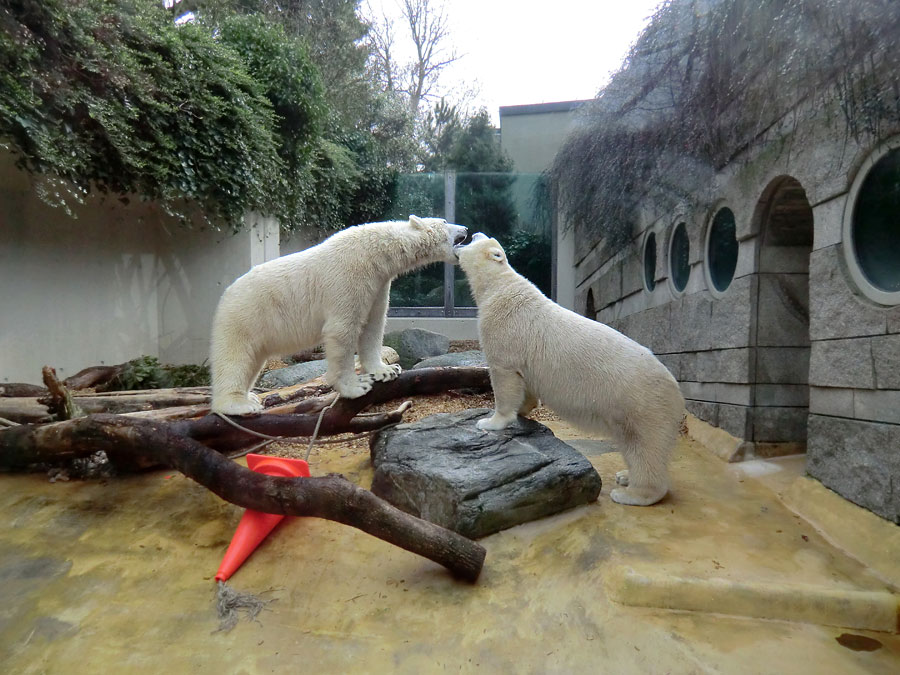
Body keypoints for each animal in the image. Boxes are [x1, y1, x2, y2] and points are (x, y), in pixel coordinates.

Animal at [208, 219, 468, 414]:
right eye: (445, 222)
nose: (465, 228)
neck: (375, 252)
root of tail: (225, 294)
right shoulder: (348, 277)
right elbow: (342, 330)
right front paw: (356, 386)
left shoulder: (378, 284)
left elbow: (373, 326)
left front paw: (386, 370)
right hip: (245, 315)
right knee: (235, 357)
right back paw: (238, 404)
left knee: (253, 360)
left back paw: (249, 396)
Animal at [458, 235, 684, 504]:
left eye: (478, 238)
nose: (469, 235)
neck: (501, 287)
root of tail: (677, 391)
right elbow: (526, 382)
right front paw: (524, 409)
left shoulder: (504, 330)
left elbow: (504, 376)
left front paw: (490, 422)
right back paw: (624, 476)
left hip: (641, 404)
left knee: (644, 447)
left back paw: (629, 493)